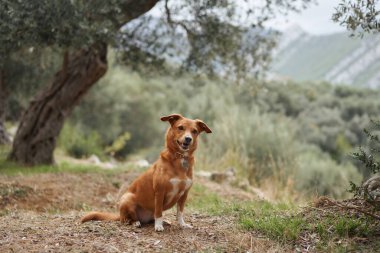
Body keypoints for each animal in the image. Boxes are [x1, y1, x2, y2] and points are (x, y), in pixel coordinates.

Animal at [81, 114, 211, 231]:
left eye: (194, 131)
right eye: (180, 127)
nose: (188, 139)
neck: (180, 158)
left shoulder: (184, 194)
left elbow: (180, 212)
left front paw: (182, 224)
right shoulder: (160, 191)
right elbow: (158, 211)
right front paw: (158, 226)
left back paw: (163, 221)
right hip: (127, 199)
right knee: (126, 219)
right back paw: (135, 222)